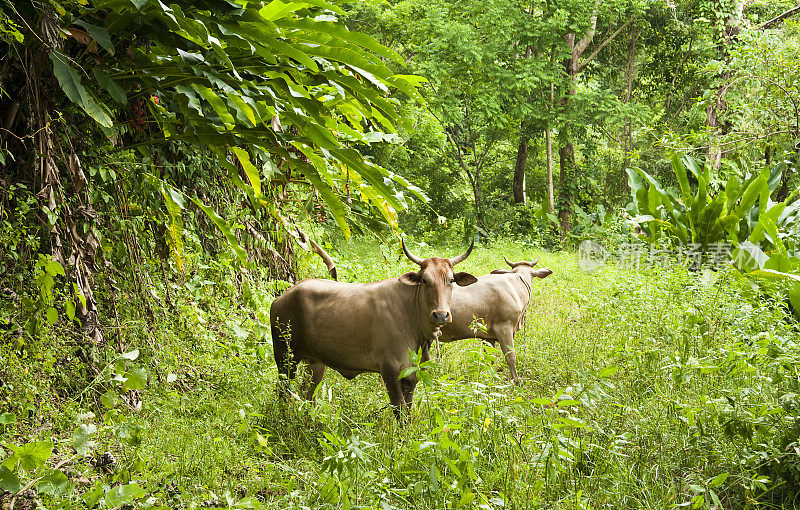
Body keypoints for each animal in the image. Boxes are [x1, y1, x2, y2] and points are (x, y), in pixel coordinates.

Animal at [272, 239, 478, 414]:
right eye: (425, 280)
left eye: (451, 280)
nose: (441, 314)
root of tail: (283, 297)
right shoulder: (389, 370)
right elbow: (399, 409)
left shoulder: (411, 375)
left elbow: (408, 409)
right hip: (285, 358)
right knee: (283, 392)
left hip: (314, 363)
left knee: (308, 395)